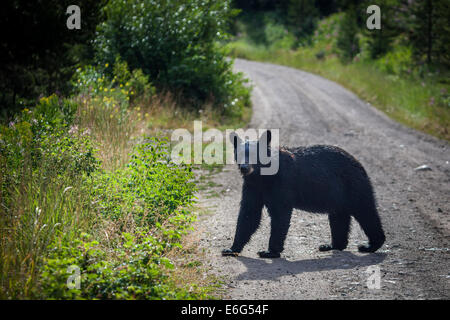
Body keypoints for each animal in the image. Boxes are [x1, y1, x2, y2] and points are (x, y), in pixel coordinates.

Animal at [221, 130, 384, 258]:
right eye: (239, 153)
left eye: (255, 154)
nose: (244, 167)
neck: (262, 176)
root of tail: (358, 163)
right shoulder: (253, 187)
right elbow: (249, 213)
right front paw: (231, 248)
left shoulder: (282, 183)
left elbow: (280, 213)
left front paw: (269, 251)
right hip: (338, 196)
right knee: (339, 217)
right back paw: (332, 245)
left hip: (353, 185)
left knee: (366, 212)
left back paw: (370, 245)